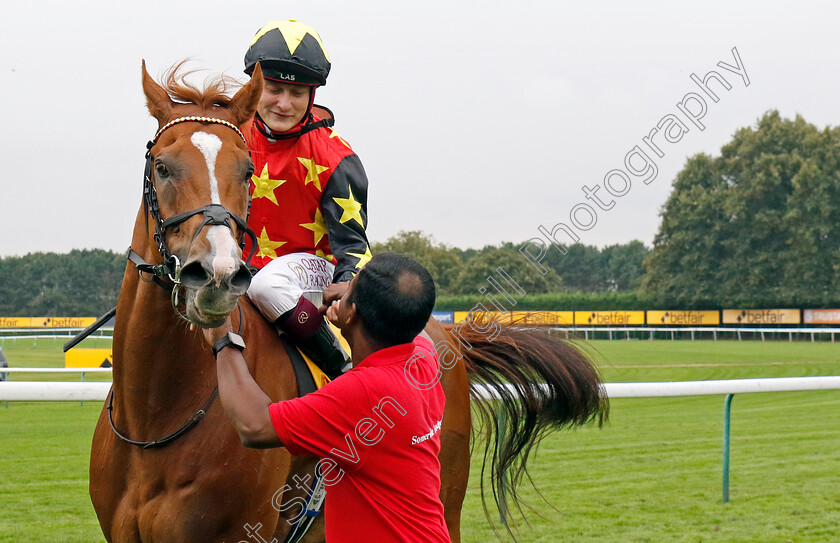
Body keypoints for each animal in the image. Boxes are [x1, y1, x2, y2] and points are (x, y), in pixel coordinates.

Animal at [90, 62, 604, 543]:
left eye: (247, 171)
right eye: (162, 166)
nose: (216, 274)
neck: (156, 419)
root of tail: (448, 335)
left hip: (443, 497)